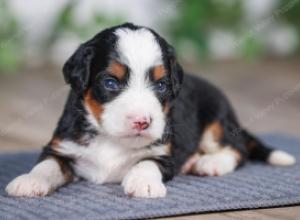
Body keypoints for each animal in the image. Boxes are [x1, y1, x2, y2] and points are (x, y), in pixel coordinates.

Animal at [5, 23, 296, 199]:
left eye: (161, 85)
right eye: (110, 83)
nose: (142, 122)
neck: (110, 139)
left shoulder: (166, 152)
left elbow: (146, 162)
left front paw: (143, 183)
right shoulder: (61, 146)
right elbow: (47, 165)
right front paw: (29, 181)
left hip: (217, 121)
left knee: (238, 150)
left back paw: (209, 163)